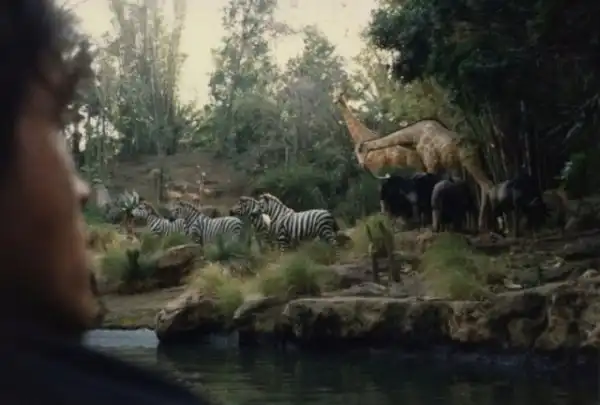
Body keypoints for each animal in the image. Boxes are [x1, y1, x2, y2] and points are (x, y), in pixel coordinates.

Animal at [358, 119, 494, 231]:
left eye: (359, 151)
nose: (362, 165)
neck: (414, 136)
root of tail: (480, 146)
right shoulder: (443, 164)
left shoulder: (430, 161)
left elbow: (431, 185)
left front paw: (432, 226)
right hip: (471, 162)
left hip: (469, 160)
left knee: (486, 185)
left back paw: (482, 224)